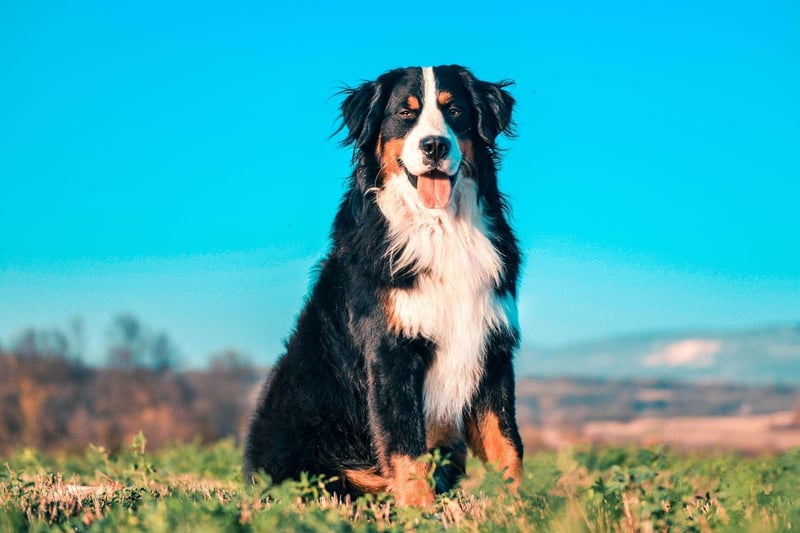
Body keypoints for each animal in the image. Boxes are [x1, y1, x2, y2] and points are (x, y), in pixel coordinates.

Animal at [241, 64, 520, 504]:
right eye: (405, 114)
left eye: (454, 110)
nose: (434, 146)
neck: (441, 229)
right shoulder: (390, 353)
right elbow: (406, 448)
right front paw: (420, 512)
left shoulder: (492, 349)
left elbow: (507, 446)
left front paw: (522, 509)